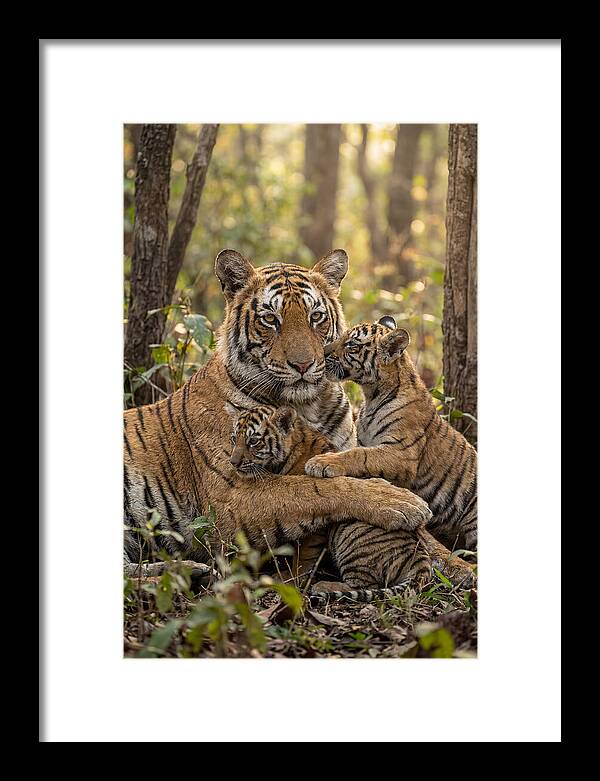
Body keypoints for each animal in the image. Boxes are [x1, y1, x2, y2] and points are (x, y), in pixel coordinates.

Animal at [123, 249, 432, 564]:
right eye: (271, 319)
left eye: (316, 317)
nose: (303, 365)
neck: (308, 406)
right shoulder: (230, 496)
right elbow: (311, 488)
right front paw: (400, 501)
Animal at [226, 401, 476, 592]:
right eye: (233, 439)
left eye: (253, 441)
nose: (233, 462)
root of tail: (420, 560)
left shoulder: (317, 523)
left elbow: (305, 554)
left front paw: (290, 579)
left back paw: (326, 586)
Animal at [305, 316, 478, 554]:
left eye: (352, 345)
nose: (322, 353)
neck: (371, 395)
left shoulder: (402, 453)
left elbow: (360, 455)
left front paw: (322, 462)